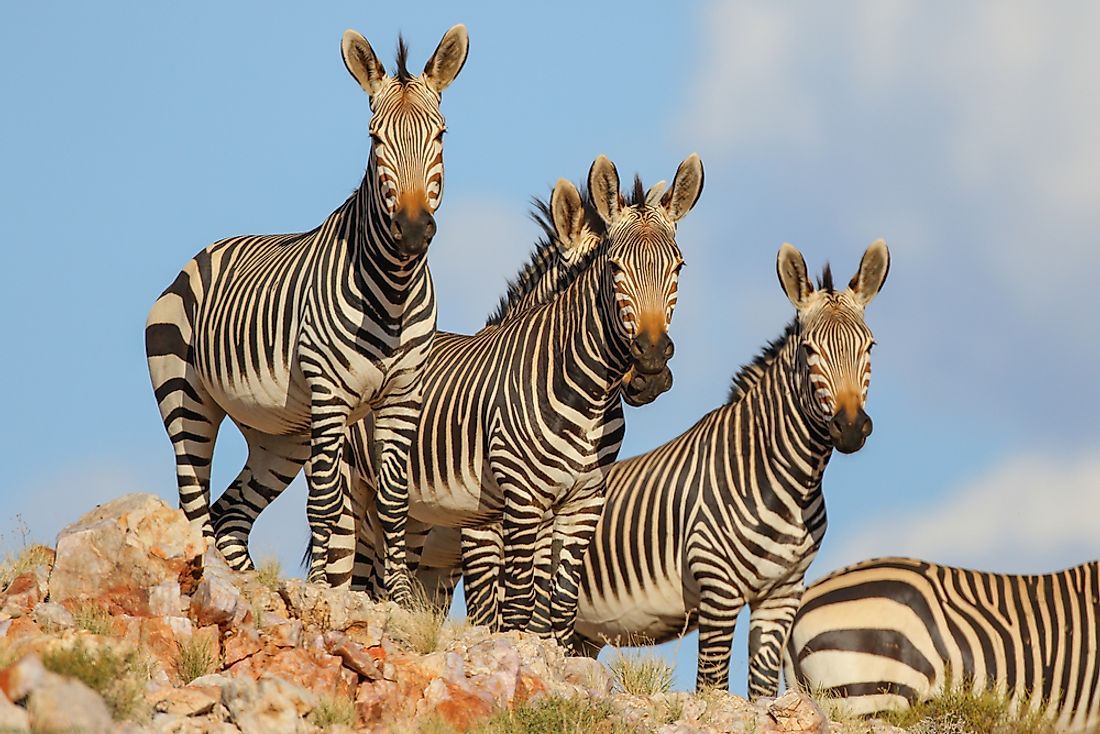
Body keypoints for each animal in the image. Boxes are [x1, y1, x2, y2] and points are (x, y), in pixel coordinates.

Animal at [146, 25, 468, 598]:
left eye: (441, 135)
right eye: (375, 140)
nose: (412, 230)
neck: (394, 289)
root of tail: (202, 254)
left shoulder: (404, 394)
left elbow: (395, 501)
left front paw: (397, 597)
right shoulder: (330, 394)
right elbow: (324, 501)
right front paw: (321, 589)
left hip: (278, 436)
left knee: (230, 515)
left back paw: (251, 583)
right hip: (185, 398)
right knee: (195, 506)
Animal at [343, 158, 704, 647]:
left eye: (678, 268)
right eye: (613, 268)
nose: (648, 365)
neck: (587, 395)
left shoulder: (578, 506)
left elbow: (558, 609)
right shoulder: (495, 518)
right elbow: (509, 609)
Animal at [572, 240, 888, 695]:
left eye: (869, 347)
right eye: (809, 350)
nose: (850, 427)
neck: (792, 482)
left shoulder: (782, 594)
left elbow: (762, 692)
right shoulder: (718, 587)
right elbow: (712, 686)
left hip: (585, 633)